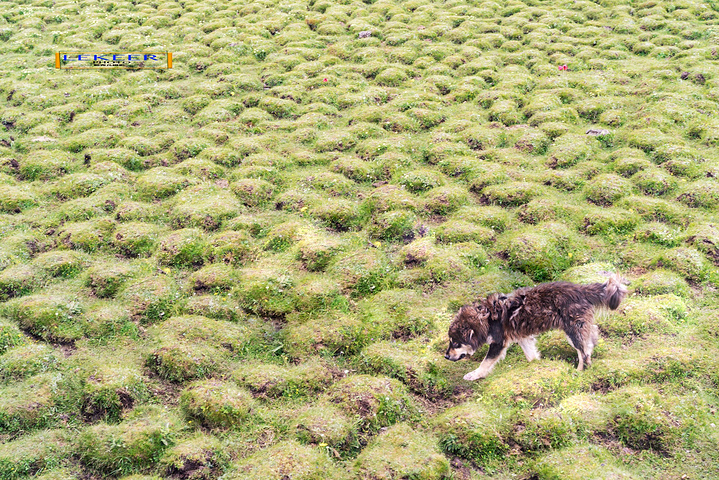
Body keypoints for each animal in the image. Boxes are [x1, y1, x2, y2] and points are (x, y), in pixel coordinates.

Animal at [448, 274, 628, 382]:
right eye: (451, 341)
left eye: (456, 343)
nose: (446, 356)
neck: (486, 318)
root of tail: (581, 289)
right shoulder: (523, 338)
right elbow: (531, 356)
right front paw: (537, 366)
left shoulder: (498, 343)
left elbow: (485, 363)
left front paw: (474, 375)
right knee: (590, 342)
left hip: (573, 331)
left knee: (583, 353)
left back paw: (578, 371)